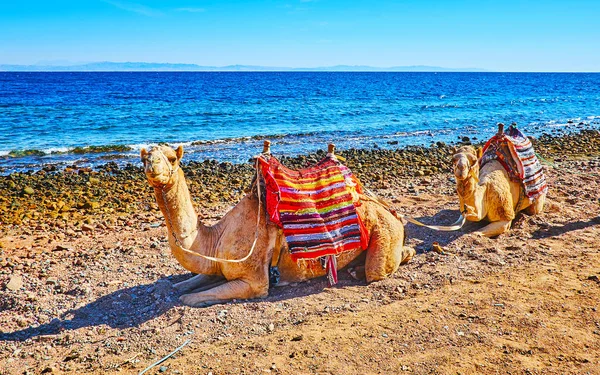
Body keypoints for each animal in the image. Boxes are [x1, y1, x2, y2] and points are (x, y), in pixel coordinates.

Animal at [141, 145, 414, 306]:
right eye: (144, 158)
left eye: (172, 158)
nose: (152, 166)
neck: (215, 237)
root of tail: (390, 210)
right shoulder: (216, 264)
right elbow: (187, 282)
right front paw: (177, 284)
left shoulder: (254, 282)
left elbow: (190, 297)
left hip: (384, 230)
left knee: (381, 267)